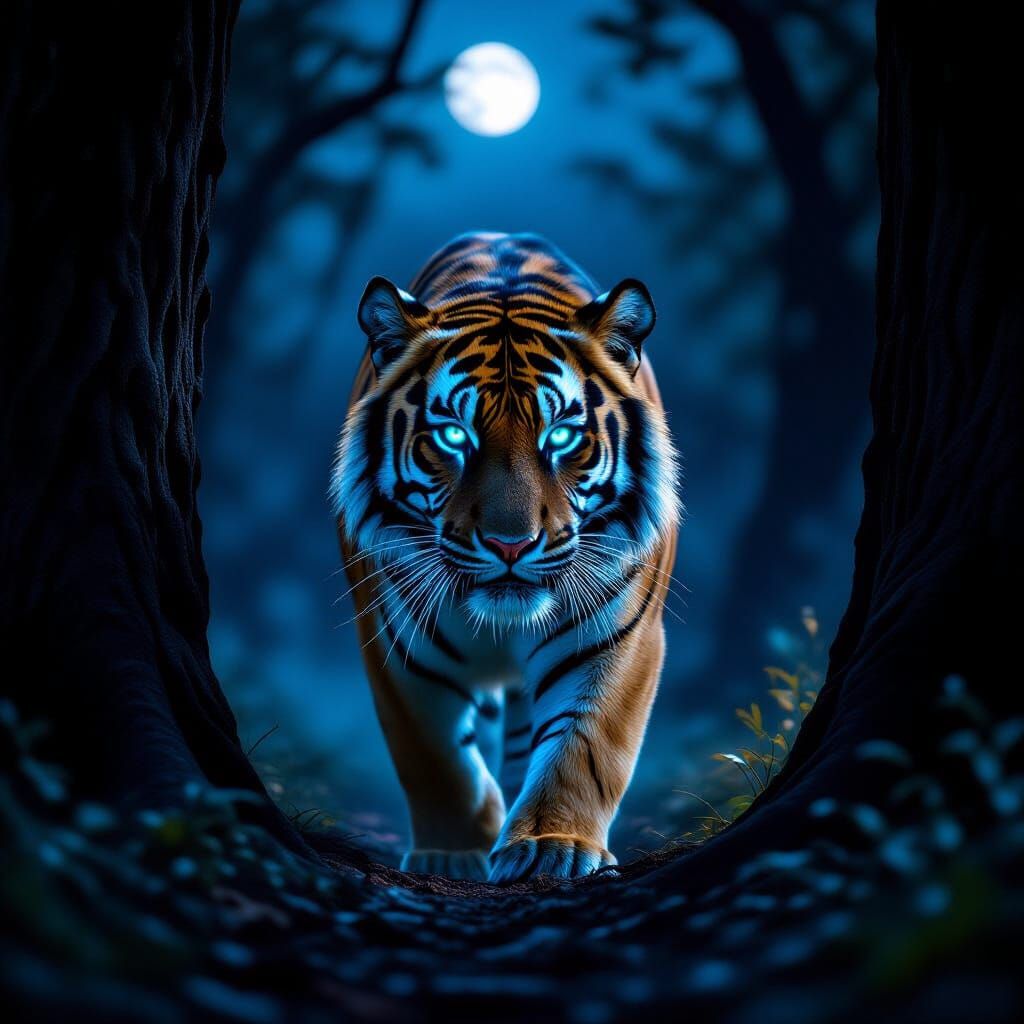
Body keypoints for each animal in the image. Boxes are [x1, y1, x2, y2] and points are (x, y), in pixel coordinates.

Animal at [331, 232, 680, 883]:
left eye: (561, 436)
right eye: (454, 436)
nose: (510, 544)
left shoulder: (620, 636)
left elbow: (584, 745)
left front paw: (553, 845)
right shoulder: (396, 645)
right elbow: (434, 758)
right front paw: (453, 852)